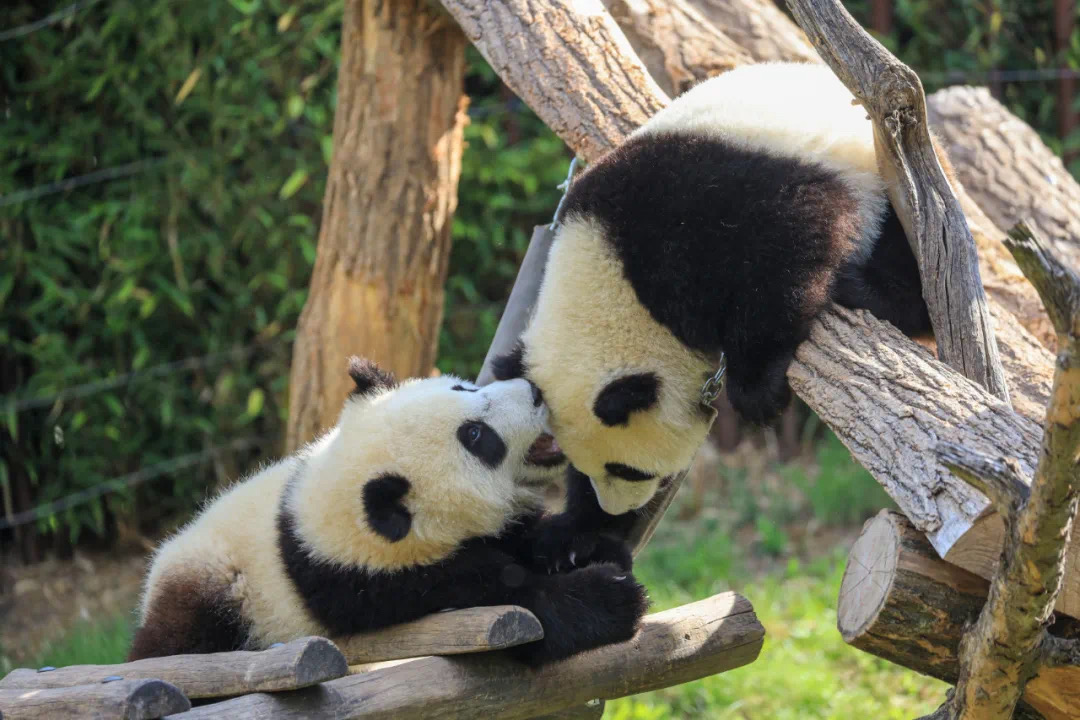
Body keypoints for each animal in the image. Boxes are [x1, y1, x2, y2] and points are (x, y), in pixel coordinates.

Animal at [128, 358, 648, 669]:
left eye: (462, 386)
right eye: (476, 437)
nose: (536, 391)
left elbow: (522, 537)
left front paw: (579, 548)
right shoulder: (374, 585)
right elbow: (520, 611)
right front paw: (612, 593)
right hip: (212, 589)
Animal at [490, 62, 954, 520]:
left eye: (626, 469)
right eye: (582, 468)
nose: (617, 510)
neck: (613, 278)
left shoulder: (705, 213)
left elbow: (786, 253)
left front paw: (757, 393)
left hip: (886, 182)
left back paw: (862, 288)